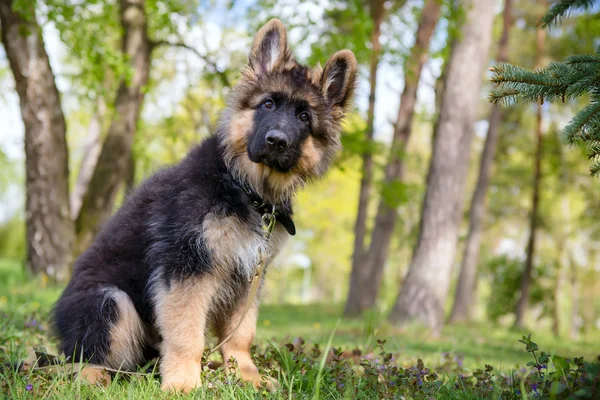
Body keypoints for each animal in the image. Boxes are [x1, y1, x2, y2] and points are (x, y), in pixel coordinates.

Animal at [51, 18, 356, 390]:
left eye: (303, 117)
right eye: (268, 104)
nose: (276, 141)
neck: (243, 186)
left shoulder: (249, 274)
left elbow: (240, 334)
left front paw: (246, 375)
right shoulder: (187, 267)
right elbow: (186, 333)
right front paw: (183, 383)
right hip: (110, 301)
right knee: (82, 358)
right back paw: (96, 377)